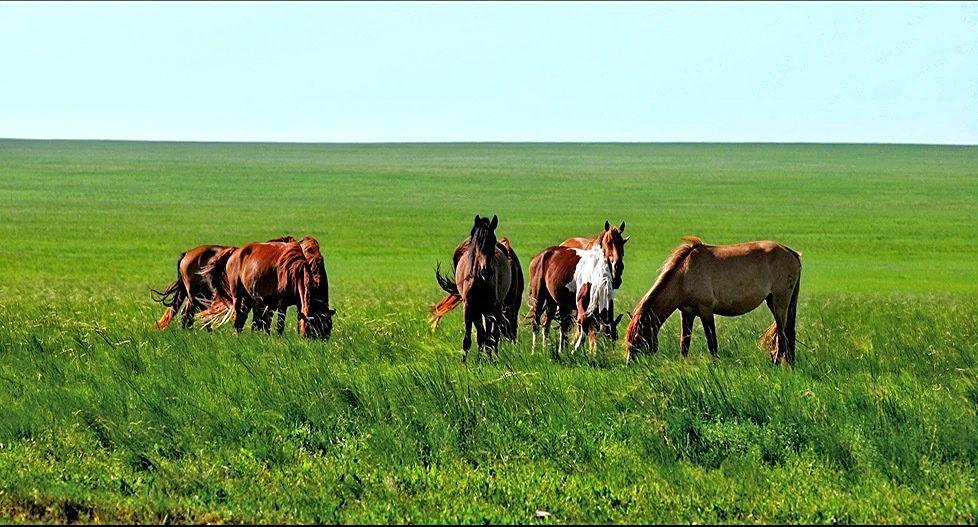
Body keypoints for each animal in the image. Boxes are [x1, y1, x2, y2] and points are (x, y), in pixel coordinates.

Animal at [200, 239, 334, 338]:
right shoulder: (282, 303)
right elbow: (280, 324)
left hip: (251, 298)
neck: (295, 271)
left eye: (328, 325)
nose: (320, 342)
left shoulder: (298, 303)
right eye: (313, 326)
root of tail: (235, 252)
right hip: (237, 295)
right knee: (239, 315)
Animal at [432, 214, 510, 364]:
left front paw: (488, 359)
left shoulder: (489, 309)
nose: (486, 271)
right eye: (477, 242)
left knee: (494, 334)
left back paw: (494, 355)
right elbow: (469, 338)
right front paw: (465, 362)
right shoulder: (469, 308)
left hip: (495, 308)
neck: (479, 281)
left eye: (493, 240)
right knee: (482, 333)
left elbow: (488, 337)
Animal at [624, 237, 800, 366]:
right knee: (788, 333)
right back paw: (790, 365)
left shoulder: (706, 310)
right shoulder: (687, 313)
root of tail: (792, 253)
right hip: (778, 302)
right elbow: (684, 343)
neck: (685, 274)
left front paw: (715, 366)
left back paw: (775, 364)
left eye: (638, 337)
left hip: (779, 302)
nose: (629, 363)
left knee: (782, 335)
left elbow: (712, 342)